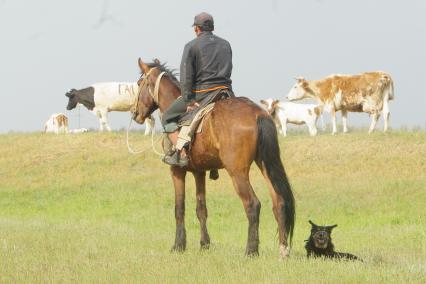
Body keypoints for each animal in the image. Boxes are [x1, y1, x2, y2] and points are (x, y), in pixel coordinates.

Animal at [133, 58, 296, 258]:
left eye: (139, 83)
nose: (135, 113)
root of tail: (258, 114)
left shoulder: (177, 171)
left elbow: (179, 208)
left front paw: (179, 245)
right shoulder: (199, 172)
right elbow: (201, 208)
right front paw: (204, 244)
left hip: (237, 172)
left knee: (252, 204)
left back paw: (251, 250)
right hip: (265, 165)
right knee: (278, 202)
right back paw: (283, 250)